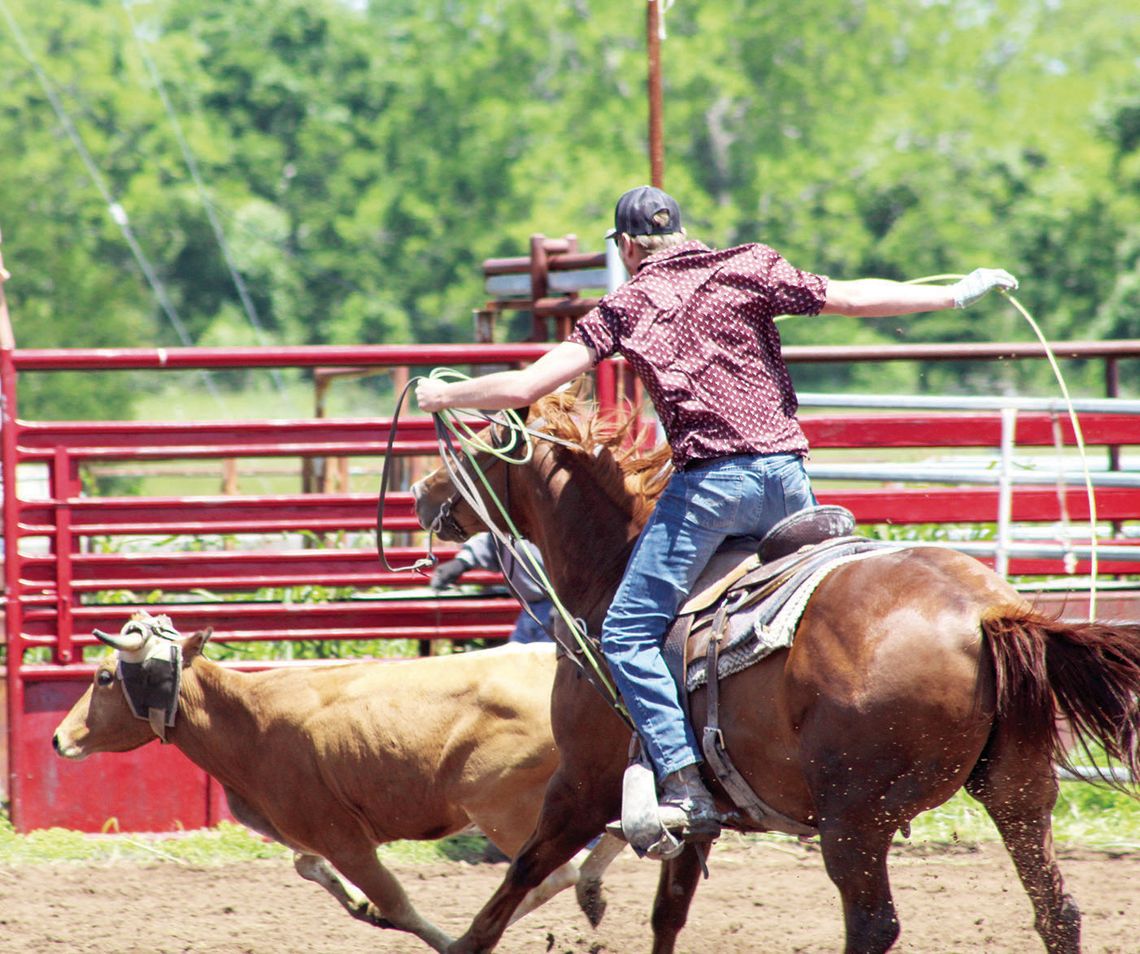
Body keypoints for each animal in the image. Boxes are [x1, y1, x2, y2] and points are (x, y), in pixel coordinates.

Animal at [414, 394, 1140, 952]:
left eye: (476, 446)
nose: (422, 492)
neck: (611, 570)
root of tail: (983, 611)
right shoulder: (697, 813)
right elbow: (667, 913)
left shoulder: (579, 786)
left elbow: (511, 888)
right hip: (1018, 788)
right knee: (1056, 912)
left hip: (855, 819)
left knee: (872, 926)